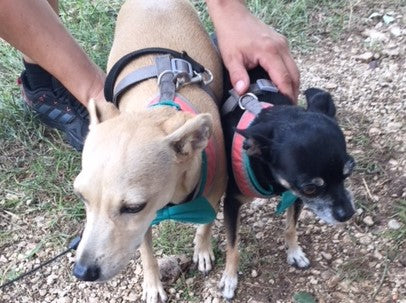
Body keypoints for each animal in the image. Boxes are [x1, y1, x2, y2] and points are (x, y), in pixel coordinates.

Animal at [72, 0, 227, 303]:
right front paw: (153, 285)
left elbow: (206, 225)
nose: (82, 271)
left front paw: (202, 250)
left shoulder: (214, 196)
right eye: (81, 196)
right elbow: (146, 253)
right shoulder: (144, 226)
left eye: (133, 207)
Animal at [219, 68, 356, 300]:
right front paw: (229, 277)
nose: (347, 213)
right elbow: (232, 244)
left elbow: (291, 228)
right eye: (310, 188)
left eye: (349, 171)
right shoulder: (231, 202)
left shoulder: (294, 197)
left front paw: (294, 252)